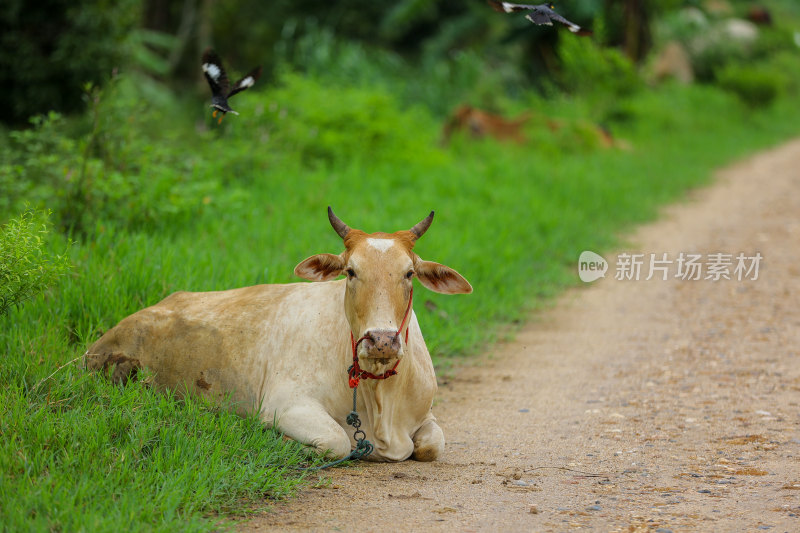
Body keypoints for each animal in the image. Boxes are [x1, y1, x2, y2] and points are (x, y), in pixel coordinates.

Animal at [86, 208, 476, 462]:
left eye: (409, 273)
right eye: (351, 271)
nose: (381, 340)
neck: (380, 398)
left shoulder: (426, 416)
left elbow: (431, 445)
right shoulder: (285, 404)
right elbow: (338, 441)